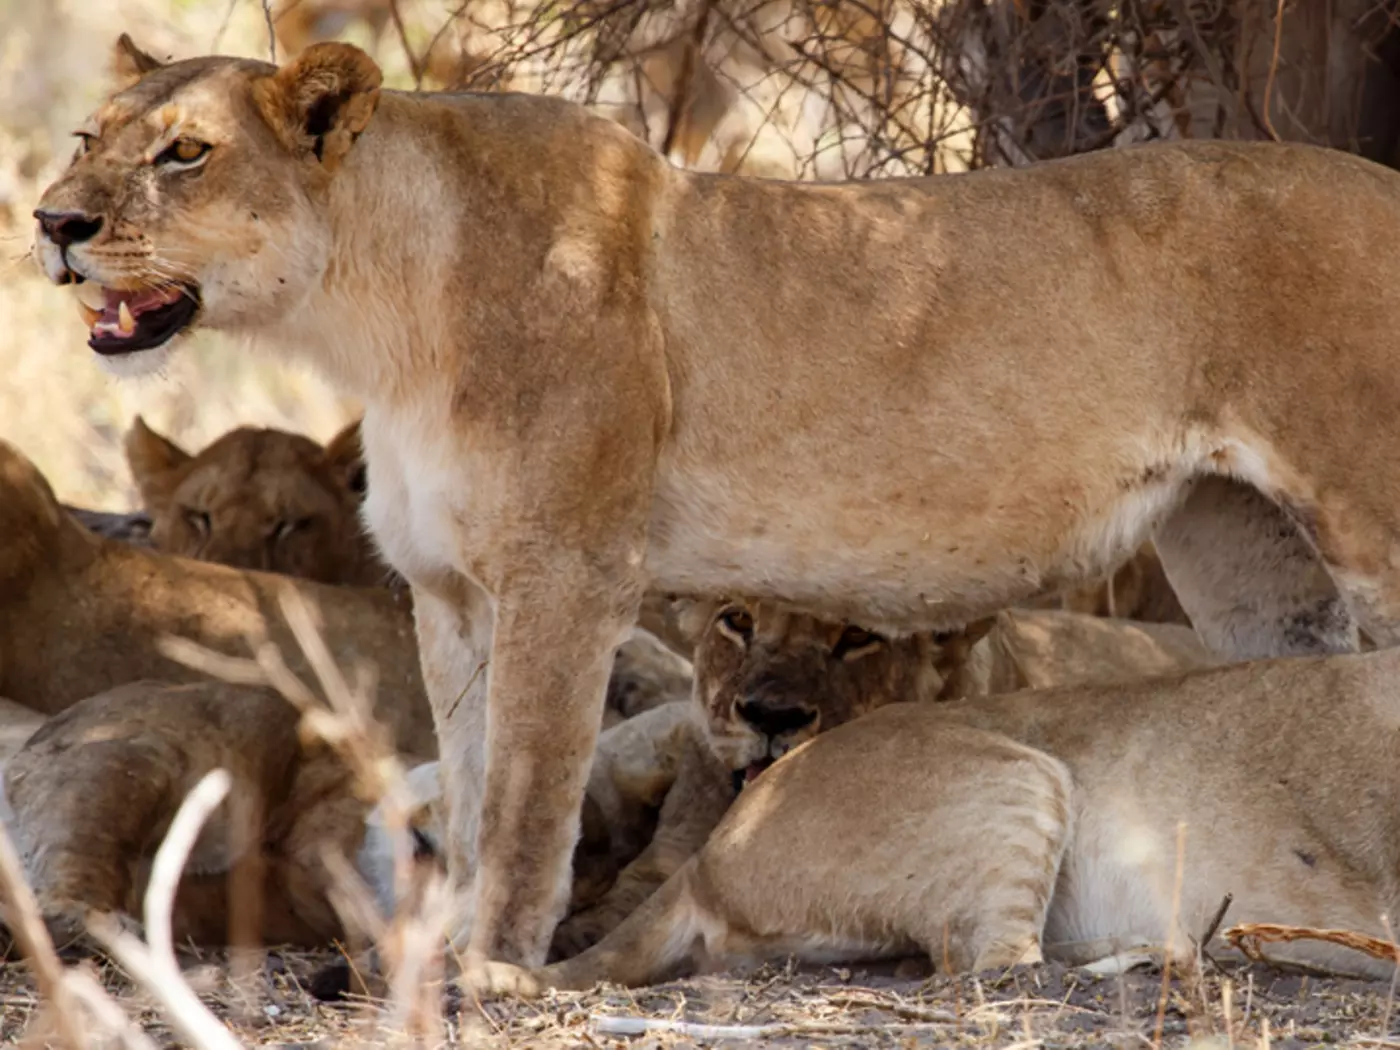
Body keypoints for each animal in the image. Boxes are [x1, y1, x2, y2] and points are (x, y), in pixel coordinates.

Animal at [36, 36, 1400, 981]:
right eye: (89, 135)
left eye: (184, 153)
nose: (53, 221)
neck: (377, 314)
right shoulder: (446, 590)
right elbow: (466, 794)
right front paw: (458, 940)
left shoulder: (570, 568)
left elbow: (526, 798)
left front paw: (496, 968)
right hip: (1236, 549)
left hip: (1363, 509)